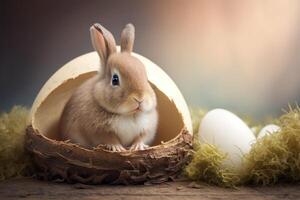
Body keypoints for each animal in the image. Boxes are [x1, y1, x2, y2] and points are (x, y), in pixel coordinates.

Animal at [60, 23, 159, 152]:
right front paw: (117, 148)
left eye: (146, 77)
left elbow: (141, 137)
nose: (140, 98)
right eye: (115, 79)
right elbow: (110, 139)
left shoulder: (147, 129)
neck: (128, 115)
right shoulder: (99, 131)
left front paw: (138, 146)